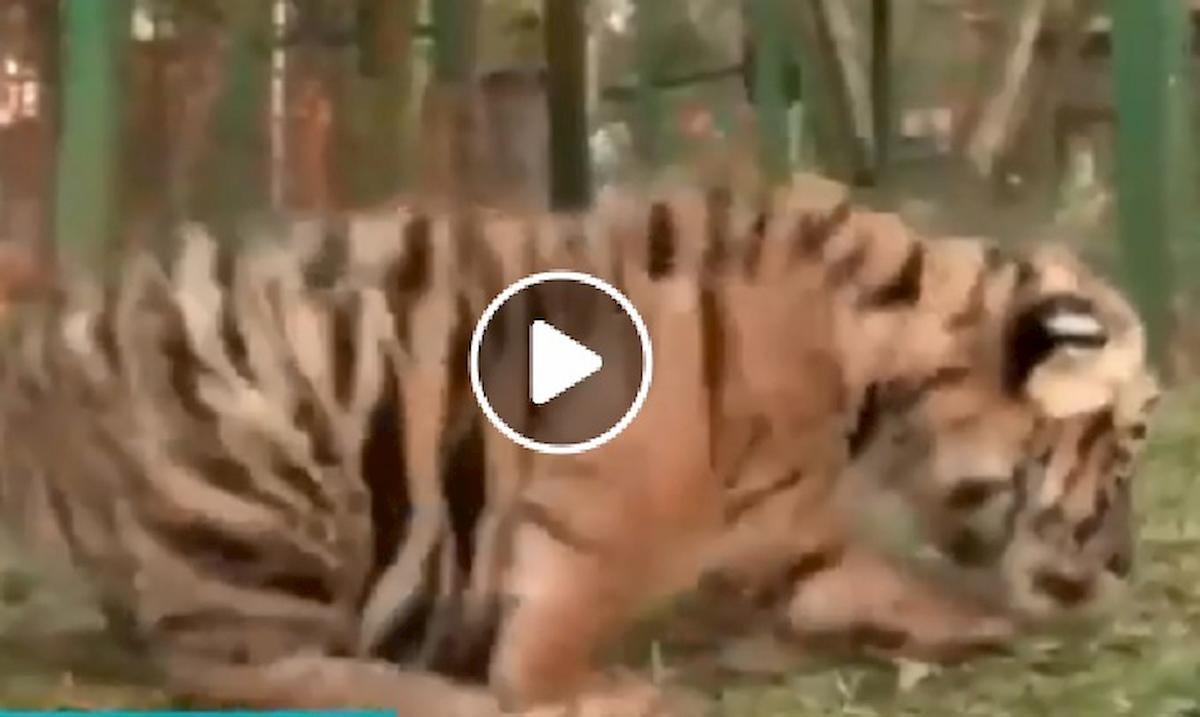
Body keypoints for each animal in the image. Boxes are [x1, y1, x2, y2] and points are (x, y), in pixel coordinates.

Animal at [0, 173, 1156, 715]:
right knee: (234, 667)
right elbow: (565, 620)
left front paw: (983, 624)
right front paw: (588, 690)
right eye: (1127, 443)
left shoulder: (788, 531)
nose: (1126, 565)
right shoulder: (620, 506)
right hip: (272, 456)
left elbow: (880, 582)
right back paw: (444, 692)